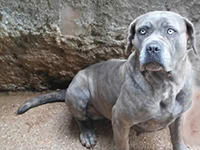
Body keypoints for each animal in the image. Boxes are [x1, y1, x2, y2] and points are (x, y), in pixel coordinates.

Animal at [16, 11, 195, 150]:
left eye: (170, 31)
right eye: (142, 31)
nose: (152, 48)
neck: (165, 83)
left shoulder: (179, 116)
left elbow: (177, 136)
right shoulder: (120, 120)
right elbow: (123, 145)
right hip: (79, 94)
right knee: (81, 119)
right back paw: (87, 134)